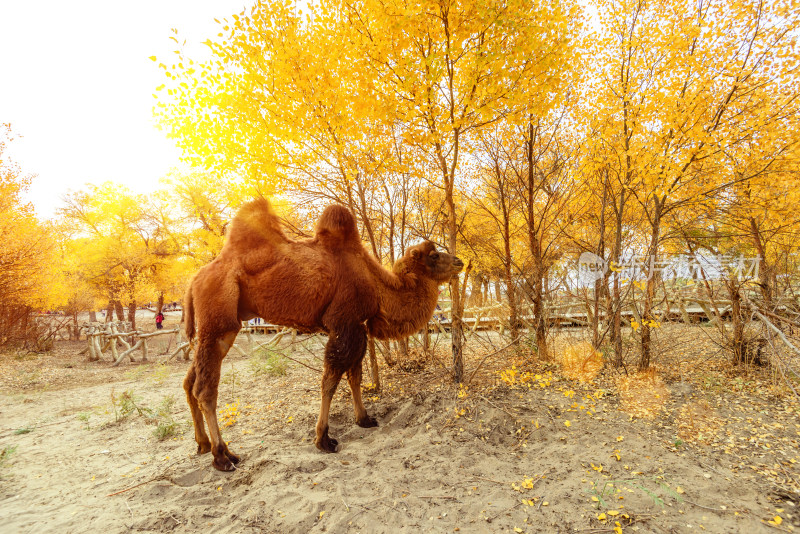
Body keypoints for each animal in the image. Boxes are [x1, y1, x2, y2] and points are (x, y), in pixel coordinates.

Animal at [182, 199, 462, 472]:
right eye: (435, 255)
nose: (459, 262)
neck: (376, 285)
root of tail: (194, 280)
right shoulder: (343, 323)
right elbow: (330, 380)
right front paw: (323, 439)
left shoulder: (357, 326)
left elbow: (355, 376)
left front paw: (364, 419)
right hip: (220, 323)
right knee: (205, 389)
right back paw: (222, 456)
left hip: (215, 331)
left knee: (189, 382)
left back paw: (203, 444)